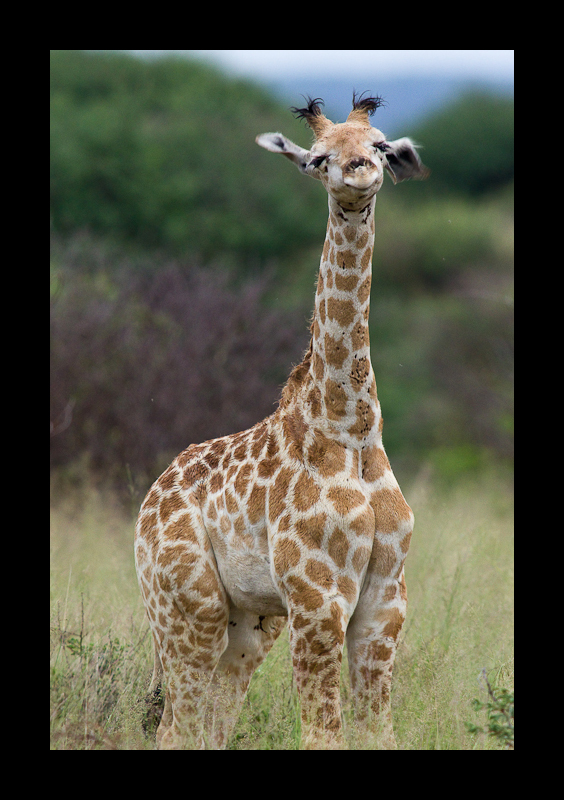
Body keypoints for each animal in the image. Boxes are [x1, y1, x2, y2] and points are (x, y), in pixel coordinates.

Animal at [134, 95, 430, 752]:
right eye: (317, 158)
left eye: (379, 146)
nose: (356, 172)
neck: (349, 429)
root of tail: (150, 497)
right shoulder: (318, 598)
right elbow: (323, 733)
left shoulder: (385, 602)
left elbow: (377, 733)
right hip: (189, 609)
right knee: (174, 727)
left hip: (250, 625)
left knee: (210, 727)